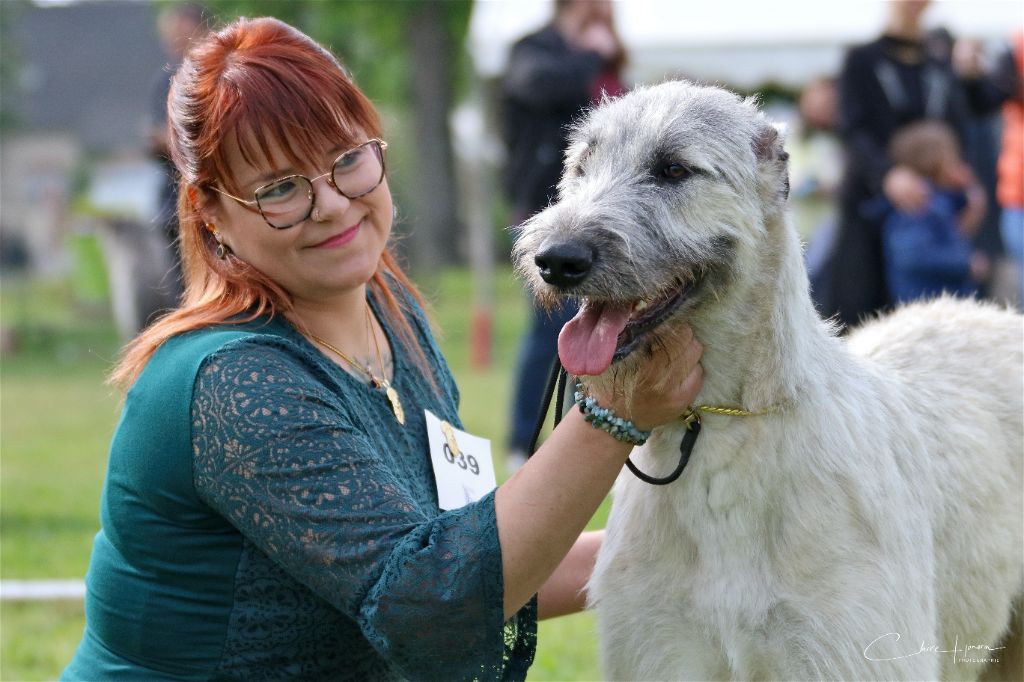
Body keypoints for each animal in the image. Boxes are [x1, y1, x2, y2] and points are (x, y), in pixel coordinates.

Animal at [516, 80, 1019, 679]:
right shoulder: (662, 649)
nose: (555, 259)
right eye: (581, 166)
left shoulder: (845, 650)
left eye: (673, 169)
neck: (724, 425)